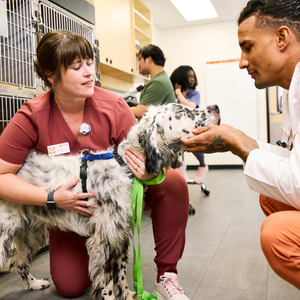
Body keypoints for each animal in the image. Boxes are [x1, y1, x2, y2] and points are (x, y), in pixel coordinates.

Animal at [0, 103, 220, 300]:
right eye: (179, 110)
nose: (216, 107)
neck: (124, 166)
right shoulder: (103, 239)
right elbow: (106, 282)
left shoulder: (120, 235)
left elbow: (120, 274)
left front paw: (128, 295)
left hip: (30, 232)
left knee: (18, 262)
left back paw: (34, 284)